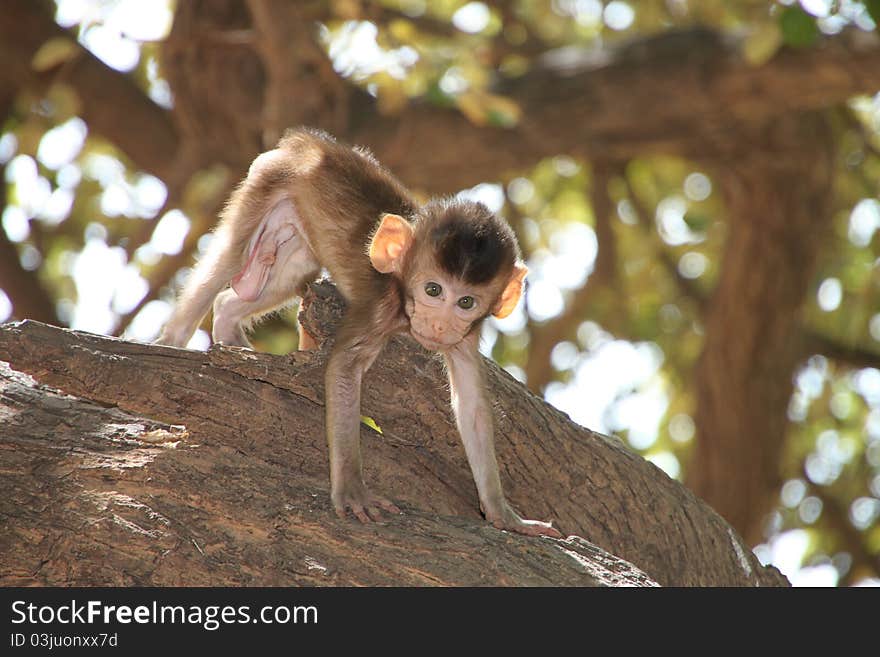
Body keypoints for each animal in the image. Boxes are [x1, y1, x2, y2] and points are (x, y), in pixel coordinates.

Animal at [161, 129, 560, 540]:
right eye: (433, 290)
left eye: (465, 301)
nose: (438, 325)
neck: (402, 293)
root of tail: (309, 143)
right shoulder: (378, 309)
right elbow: (343, 368)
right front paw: (353, 490)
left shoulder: (465, 336)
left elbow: (472, 406)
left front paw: (503, 514)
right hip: (267, 182)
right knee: (230, 257)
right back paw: (170, 342)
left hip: (295, 233)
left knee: (271, 282)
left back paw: (231, 331)